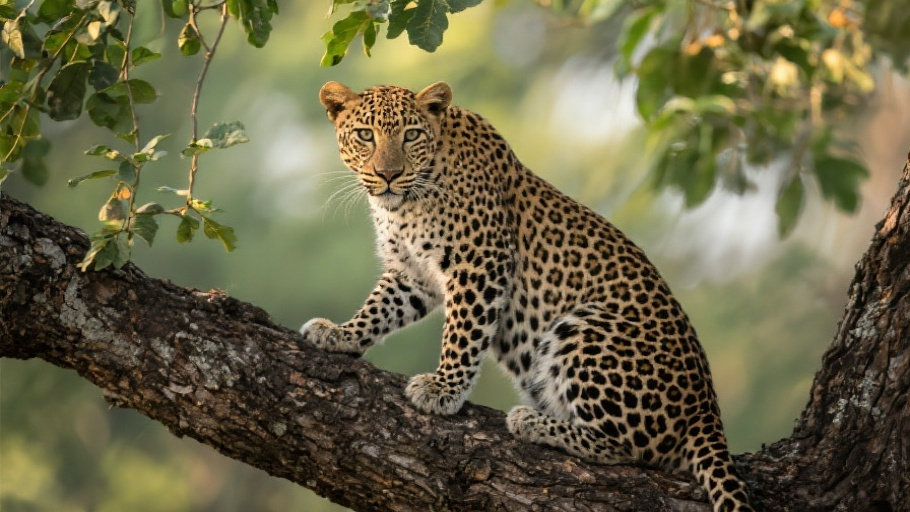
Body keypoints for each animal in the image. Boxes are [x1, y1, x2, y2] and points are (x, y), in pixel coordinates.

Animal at [300, 81, 754, 511]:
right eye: (365, 135)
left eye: (410, 135)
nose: (389, 174)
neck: (404, 205)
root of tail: (707, 411)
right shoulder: (413, 275)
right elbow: (379, 308)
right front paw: (341, 334)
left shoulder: (481, 261)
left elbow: (463, 334)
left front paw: (443, 390)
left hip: (585, 327)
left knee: (633, 450)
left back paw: (533, 423)